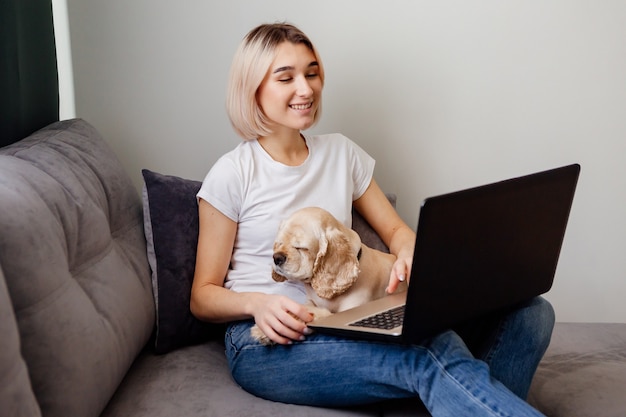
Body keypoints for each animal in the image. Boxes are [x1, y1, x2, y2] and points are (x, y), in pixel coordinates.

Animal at [249, 206, 404, 344]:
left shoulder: (348, 310)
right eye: (279, 243)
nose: (277, 257)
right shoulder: (311, 301)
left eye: (301, 247)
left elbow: (314, 312)